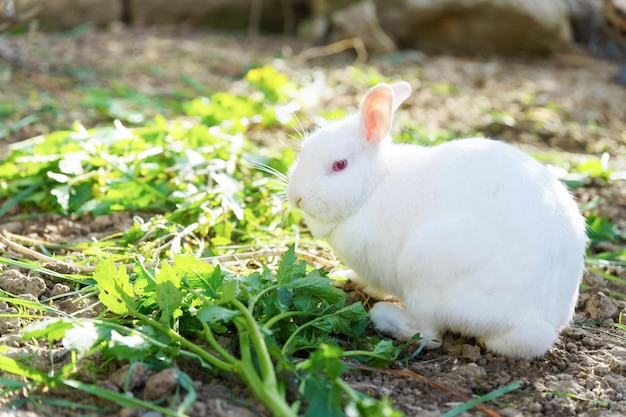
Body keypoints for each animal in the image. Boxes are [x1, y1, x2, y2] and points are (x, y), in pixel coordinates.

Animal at [284, 81, 584, 358]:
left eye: (340, 165)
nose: (296, 197)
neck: (373, 187)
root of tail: (530, 321)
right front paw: (347, 277)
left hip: (424, 270)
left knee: (429, 334)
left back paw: (385, 317)